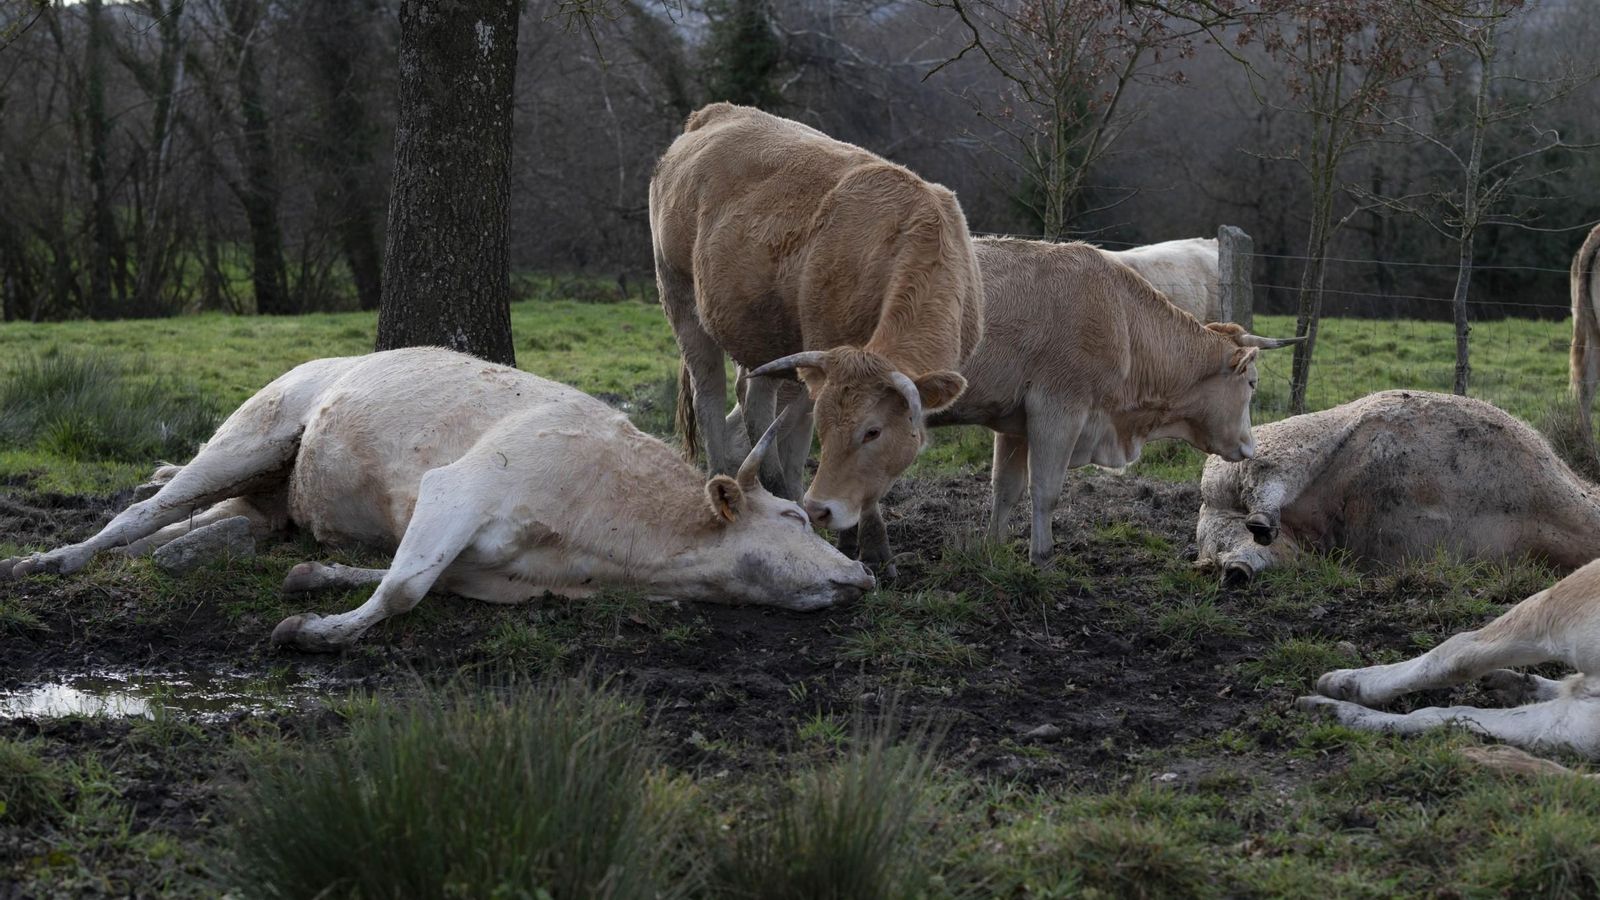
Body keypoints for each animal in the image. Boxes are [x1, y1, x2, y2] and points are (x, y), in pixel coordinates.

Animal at [2, 348, 875, 651]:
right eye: (793, 515)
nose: (862, 575)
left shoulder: (504, 577)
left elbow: (413, 576)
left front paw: (314, 582)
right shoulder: (456, 486)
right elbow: (404, 587)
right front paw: (318, 631)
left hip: (267, 493)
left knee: (218, 527)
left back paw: (184, 552)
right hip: (251, 433)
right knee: (138, 512)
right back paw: (52, 559)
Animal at [649, 102, 983, 574]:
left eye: (873, 432)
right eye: (830, 431)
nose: (821, 508)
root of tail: (719, 113)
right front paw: (872, 549)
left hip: (763, 334)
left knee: (755, 402)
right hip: (682, 304)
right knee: (711, 398)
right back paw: (736, 483)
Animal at [925, 237, 1303, 565]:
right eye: (1252, 383)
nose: (1250, 445)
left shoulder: (1013, 423)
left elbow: (1006, 489)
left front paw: (992, 549)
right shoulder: (1057, 410)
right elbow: (1045, 491)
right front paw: (1042, 558)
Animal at [1197, 390, 1600, 586]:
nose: (1231, 572)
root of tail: (1209, 505)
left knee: (1262, 531)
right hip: (1287, 449)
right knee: (1266, 486)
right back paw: (1258, 529)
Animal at [1298, 557, 1600, 760]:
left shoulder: (1573, 729)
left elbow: (1438, 716)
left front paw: (1331, 710)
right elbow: (1454, 661)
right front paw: (1336, 697)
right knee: (1459, 649)